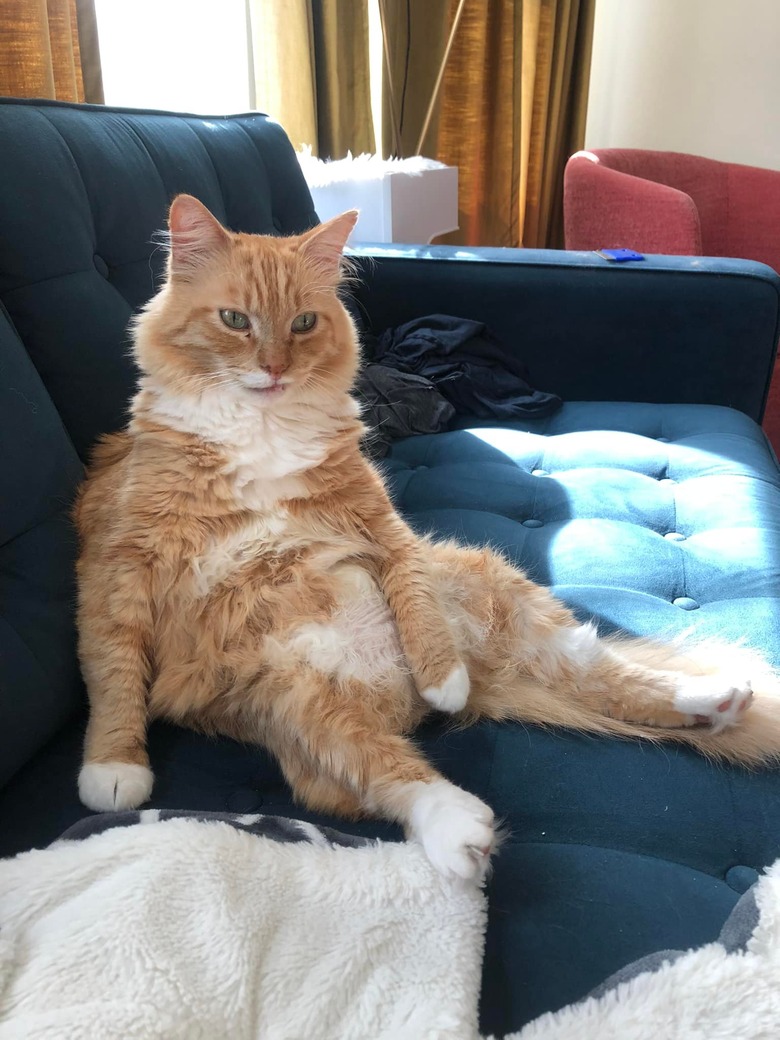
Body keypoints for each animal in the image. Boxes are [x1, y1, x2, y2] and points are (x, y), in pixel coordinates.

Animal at [76, 193, 780, 877]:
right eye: (234, 320)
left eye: (303, 324)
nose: (274, 368)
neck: (262, 432)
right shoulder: (119, 564)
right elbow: (114, 668)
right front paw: (115, 768)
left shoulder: (387, 530)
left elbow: (415, 605)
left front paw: (442, 678)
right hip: (300, 710)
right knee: (391, 772)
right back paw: (461, 833)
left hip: (498, 596)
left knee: (606, 675)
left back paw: (713, 697)